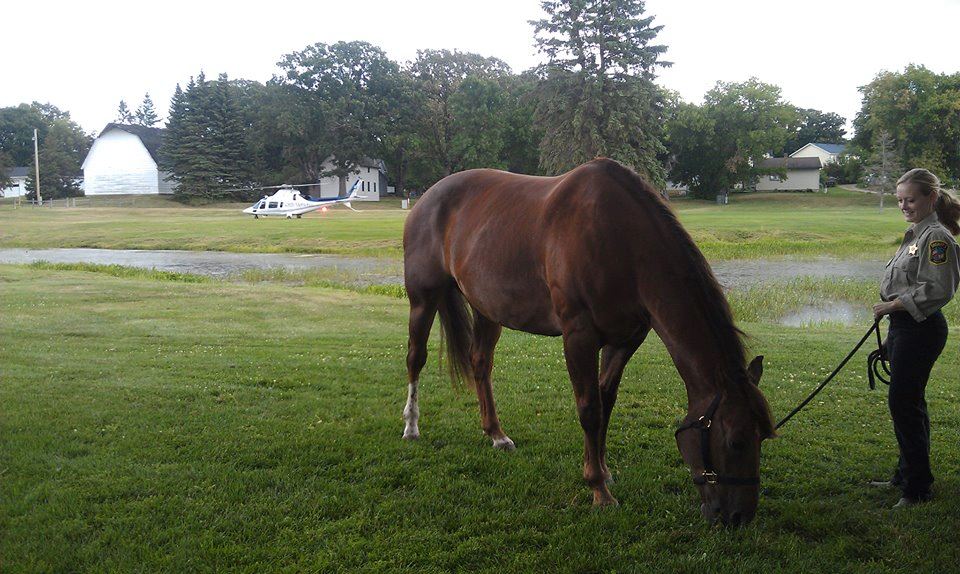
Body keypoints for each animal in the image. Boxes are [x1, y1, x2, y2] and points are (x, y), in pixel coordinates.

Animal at [401, 158, 776, 525]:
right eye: (736, 441)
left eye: (764, 436)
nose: (740, 516)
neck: (620, 241)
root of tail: (428, 196)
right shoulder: (578, 335)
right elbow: (589, 408)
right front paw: (599, 490)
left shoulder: (625, 340)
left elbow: (605, 401)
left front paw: (603, 470)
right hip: (423, 298)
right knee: (415, 358)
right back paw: (411, 426)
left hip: (486, 309)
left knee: (481, 363)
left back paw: (495, 433)